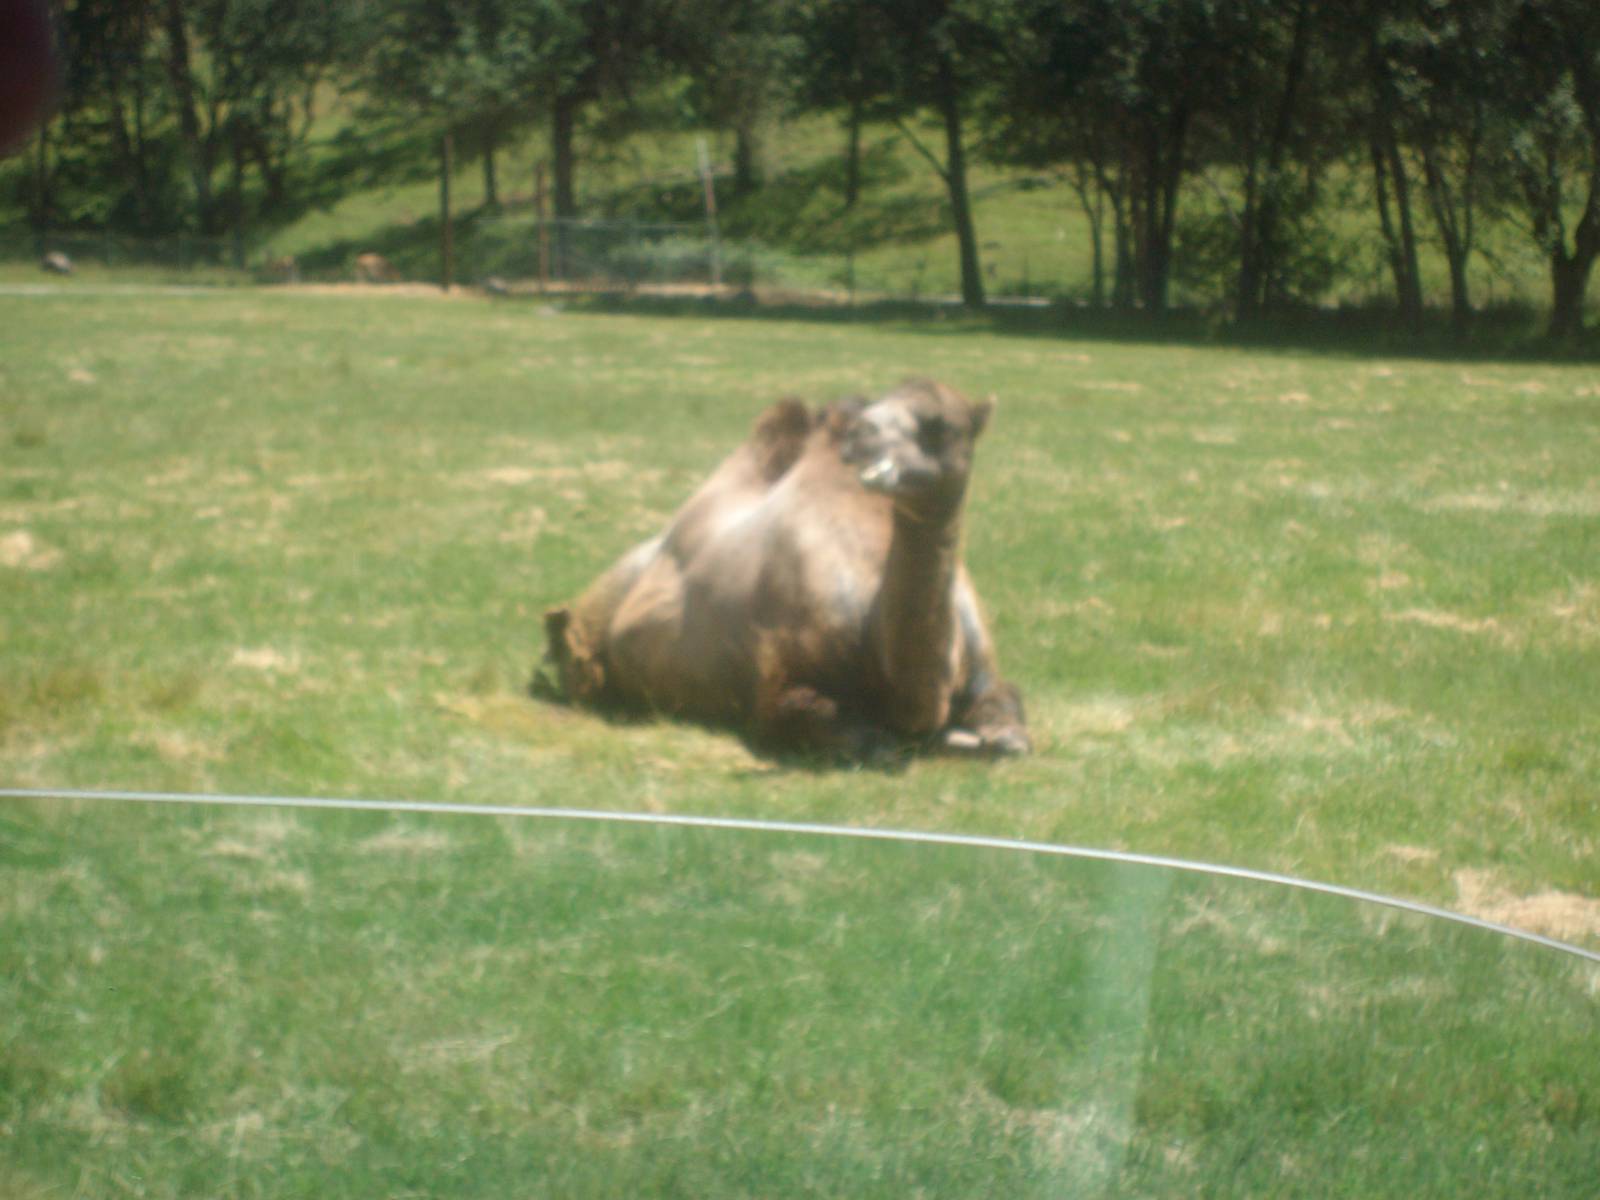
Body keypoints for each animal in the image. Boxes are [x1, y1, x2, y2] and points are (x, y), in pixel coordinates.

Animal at [539, 379, 1029, 759]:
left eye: (939, 425)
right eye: (875, 407)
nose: (860, 437)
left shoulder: (985, 673)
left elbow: (1012, 733)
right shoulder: (780, 680)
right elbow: (861, 738)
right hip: (598, 628)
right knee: (579, 656)